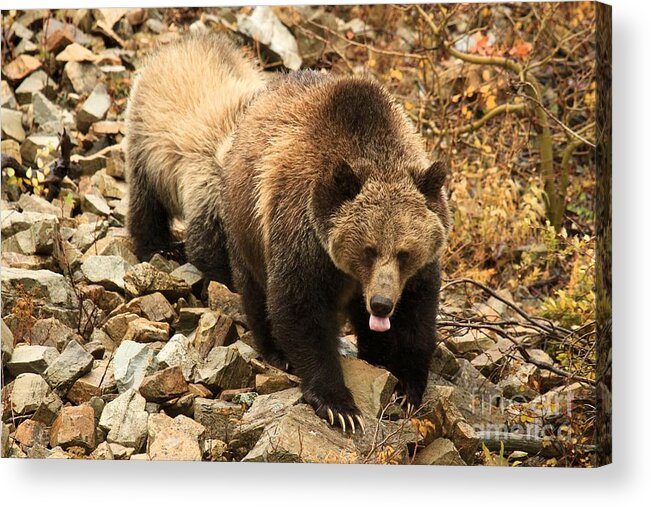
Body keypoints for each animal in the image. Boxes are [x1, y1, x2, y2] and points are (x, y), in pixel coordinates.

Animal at [125, 34, 450, 432]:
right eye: (368, 249)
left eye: (404, 252)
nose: (381, 303)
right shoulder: (300, 233)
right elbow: (298, 307)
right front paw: (339, 404)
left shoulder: (417, 266)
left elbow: (415, 315)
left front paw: (404, 385)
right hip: (233, 213)